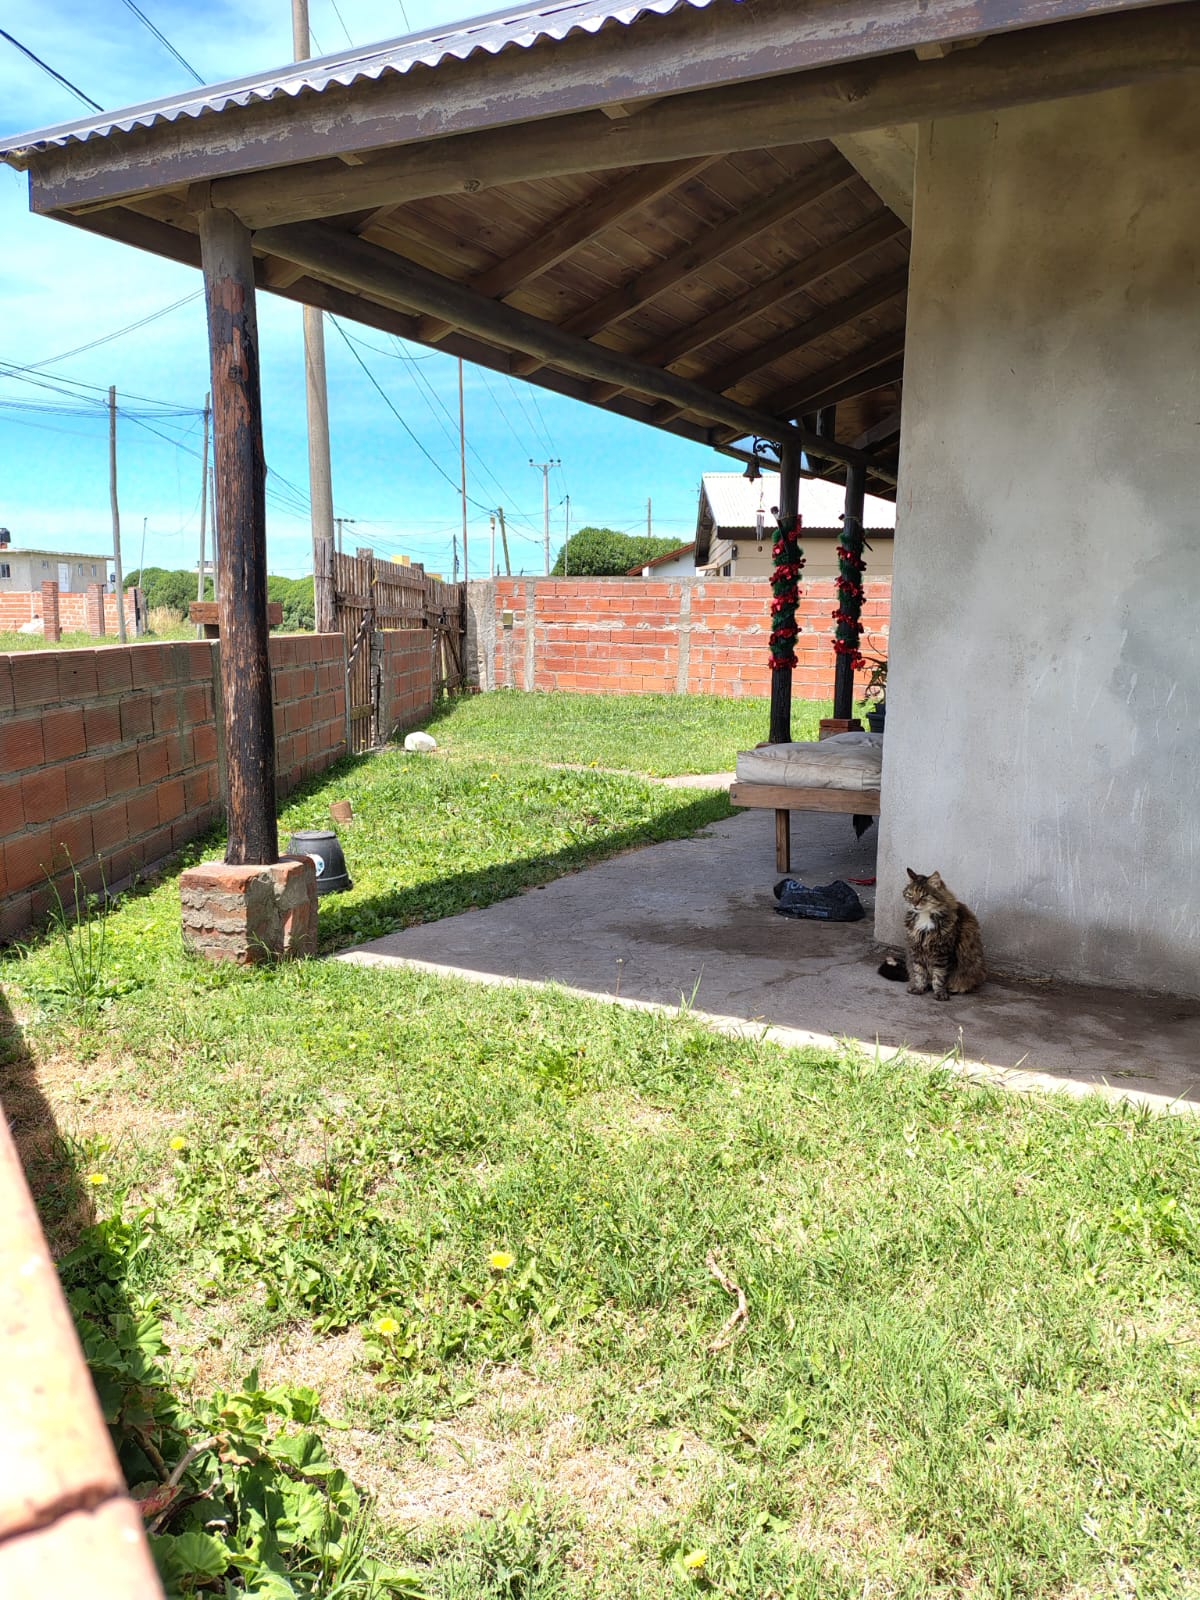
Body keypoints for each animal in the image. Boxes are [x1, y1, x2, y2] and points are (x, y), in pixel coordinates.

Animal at [877, 869, 986, 999]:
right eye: (910, 894)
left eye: (923, 895)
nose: (914, 904)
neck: (925, 916)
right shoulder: (916, 949)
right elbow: (919, 972)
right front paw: (919, 988)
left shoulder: (944, 952)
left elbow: (940, 976)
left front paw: (940, 993)